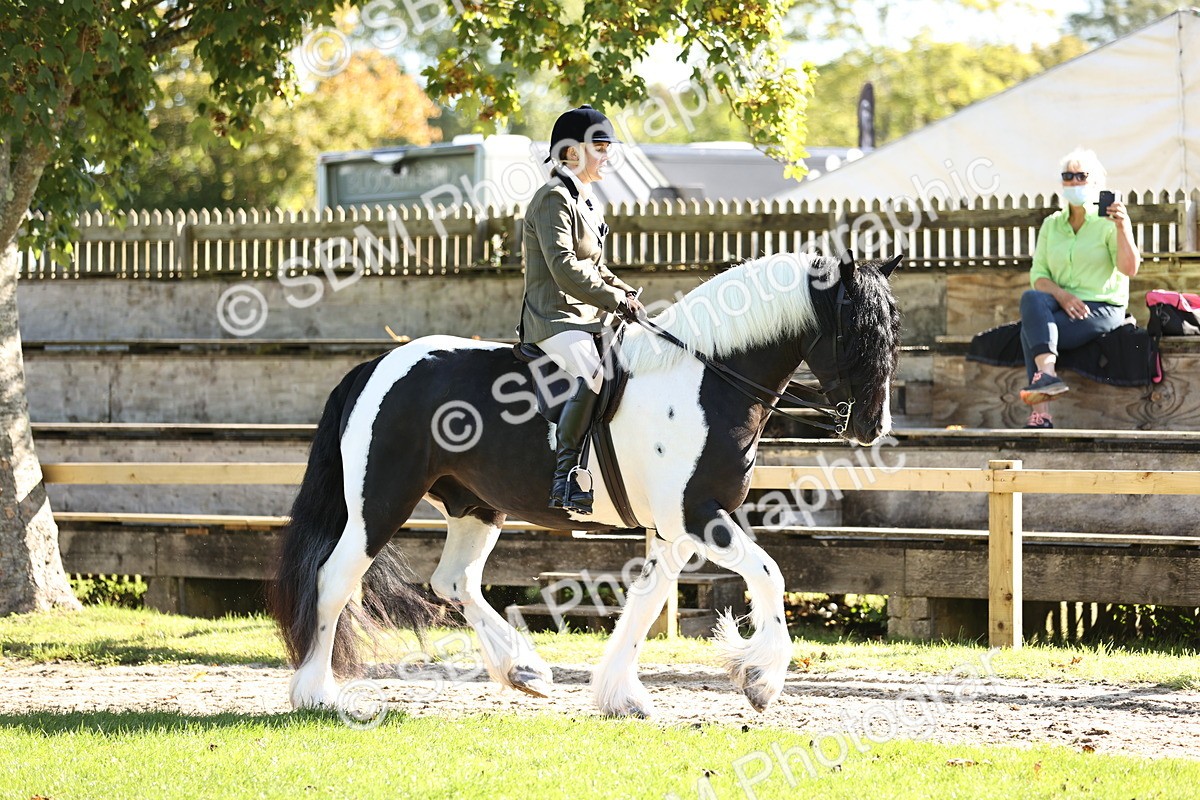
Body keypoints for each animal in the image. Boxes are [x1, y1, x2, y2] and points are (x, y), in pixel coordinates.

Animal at [270, 251, 902, 718]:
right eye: (856, 331)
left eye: (893, 329)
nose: (873, 426)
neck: (704, 379)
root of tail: (375, 365)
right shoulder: (696, 515)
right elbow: (769, 572)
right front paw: (761, 679)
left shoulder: (674, 529)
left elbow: (646, 603)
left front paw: (621, 696)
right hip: (381, 502)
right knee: (333, 580)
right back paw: (317, 695)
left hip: (476, 505)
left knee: (454, 581)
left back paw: (524, 670)